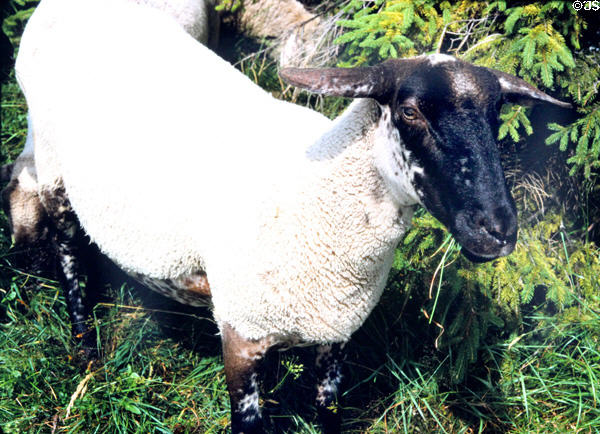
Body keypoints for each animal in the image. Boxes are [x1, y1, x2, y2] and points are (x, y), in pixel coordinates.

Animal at [12, 0, 568, 430]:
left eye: (497, 114)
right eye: (409, 111)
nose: (497, 231)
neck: (319, 195)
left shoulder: (335, 335)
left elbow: (327, 410)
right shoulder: (242, 333)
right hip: (56, 170)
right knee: (66, 247)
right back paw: (84, 353)